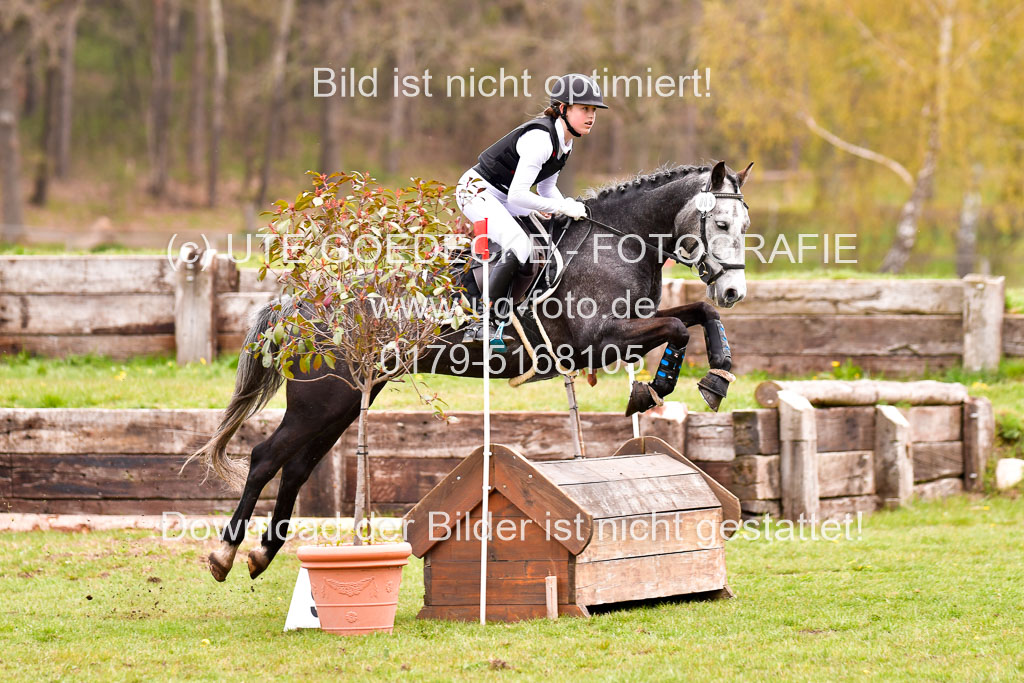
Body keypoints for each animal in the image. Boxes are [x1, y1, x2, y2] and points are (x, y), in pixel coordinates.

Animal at [193, 160, 753, 581]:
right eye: (722, 225)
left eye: (745, 227)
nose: (734, 290)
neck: (619, 242)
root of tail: (304, 301)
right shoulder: (599, 342)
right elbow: (678, 327)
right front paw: (651, 391)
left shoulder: (629, 329)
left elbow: (699, 314)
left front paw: (715, 377)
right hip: (322, 398)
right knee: (265, 458)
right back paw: (225, 554)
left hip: (348, 399)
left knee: (297, 467)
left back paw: (263, 553)